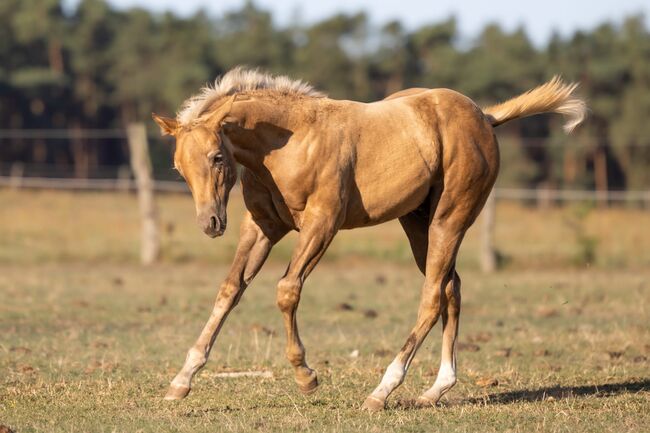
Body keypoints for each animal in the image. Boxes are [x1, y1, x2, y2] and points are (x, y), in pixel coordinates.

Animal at [152, 67, 586, 411]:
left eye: (217, 157)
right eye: (178, 167)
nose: (210, 223)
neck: (290, 144)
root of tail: (484, 115)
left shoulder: (321, 225)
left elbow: (287, 290)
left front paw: (306, 376)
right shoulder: (261, 227)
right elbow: (229, 290)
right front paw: (181, 381)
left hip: (449, 220)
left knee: (432, 295)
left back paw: (382, 391)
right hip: (417, 223)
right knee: (451, 288)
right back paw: (436, 389)